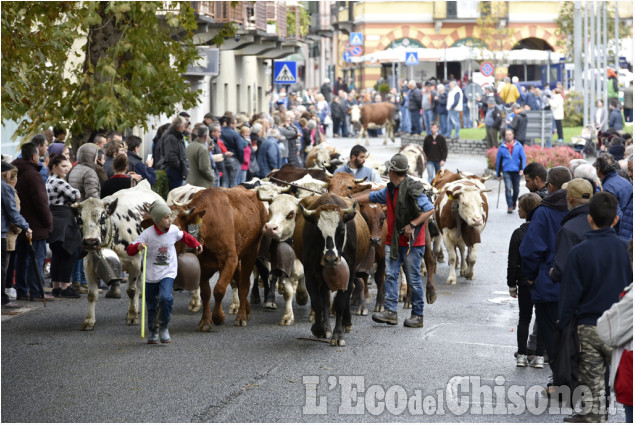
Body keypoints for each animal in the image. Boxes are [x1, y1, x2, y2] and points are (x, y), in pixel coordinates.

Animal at [173, 186, 268, 332]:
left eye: (177, 229)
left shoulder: (230, 259)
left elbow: (219, 289)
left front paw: (218, 317)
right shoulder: (204, 265)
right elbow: (206, 293)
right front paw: (205, 321)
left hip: (251, 252)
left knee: (244, 284)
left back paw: (241, 316)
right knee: (239, 280)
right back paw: (247, 311)